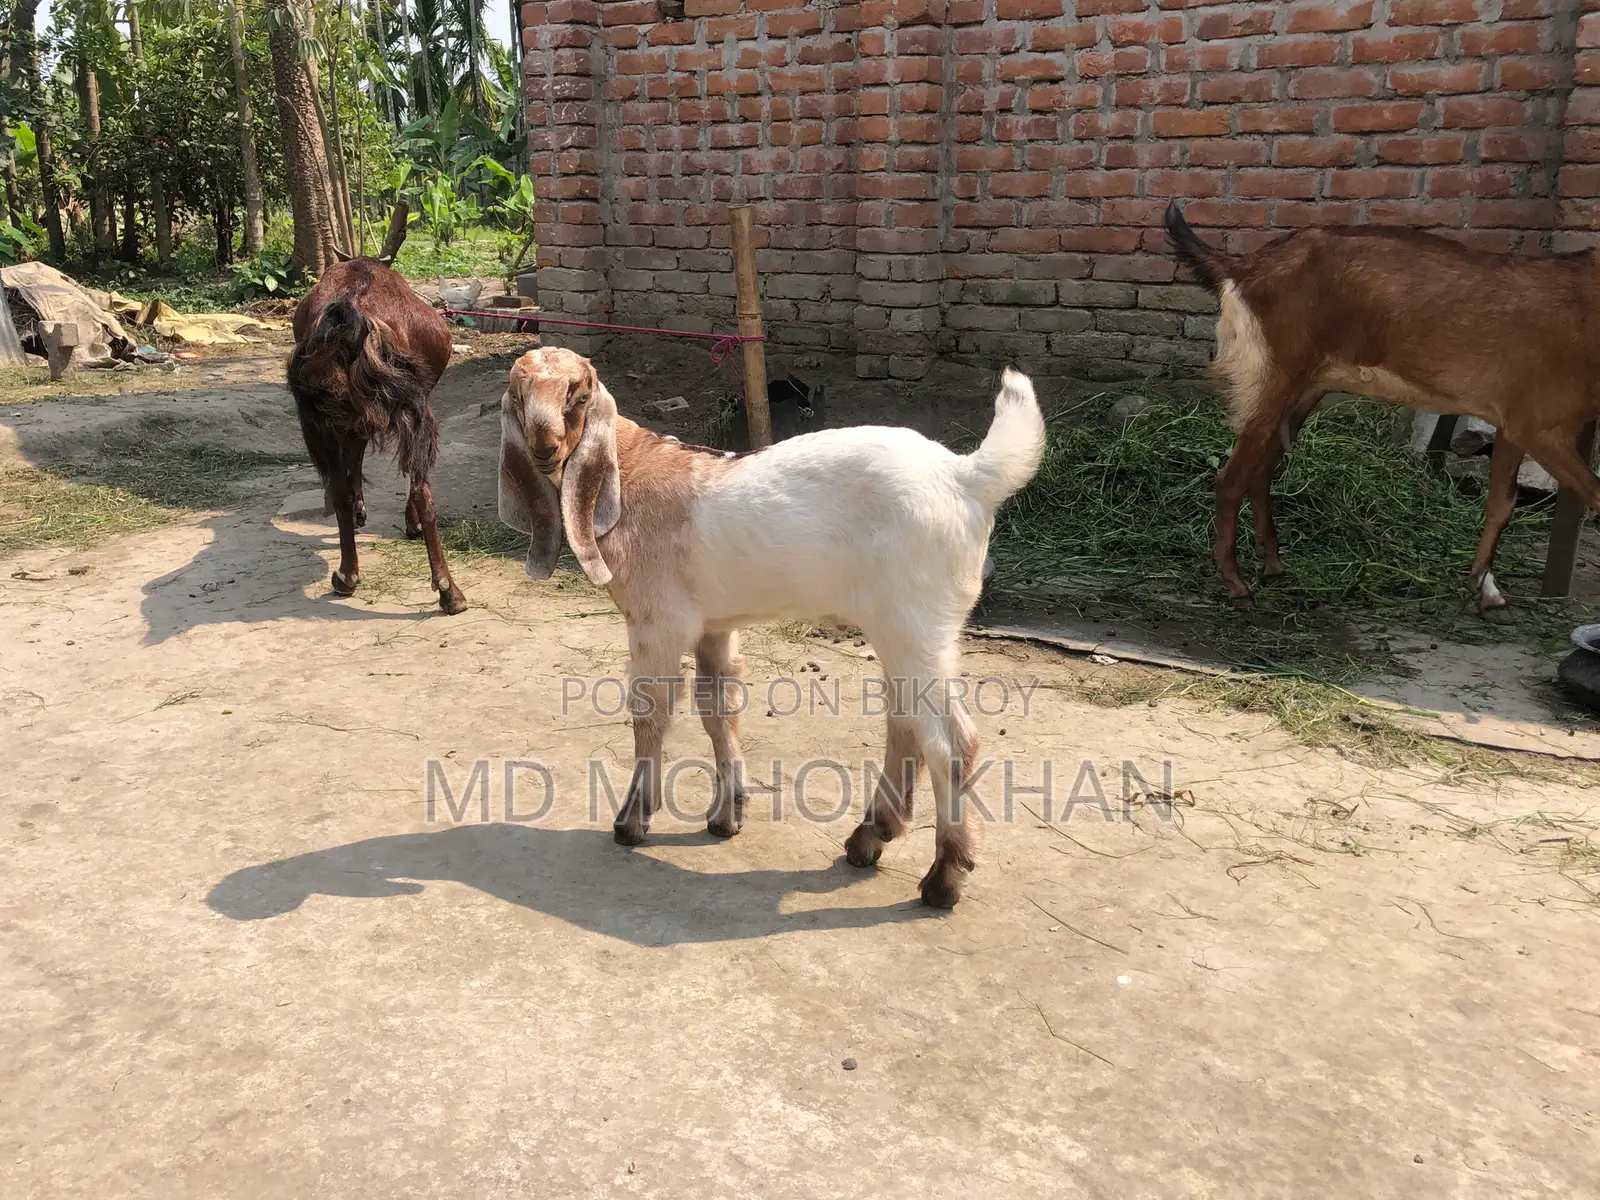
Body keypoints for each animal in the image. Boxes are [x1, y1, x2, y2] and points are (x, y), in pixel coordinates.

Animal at [287, 255, 466, 614]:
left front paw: (360, 511)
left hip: (321, 417)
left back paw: (347, 575)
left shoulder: (353, 419)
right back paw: (448, 590)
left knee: (338, 486)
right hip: (414, 408)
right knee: (422, 490)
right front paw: (406, 522)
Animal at [497, 347, 1045, 908]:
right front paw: (726, 815)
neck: (630, 470)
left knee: (951, 743)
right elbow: (718, 708)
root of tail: (965, 475)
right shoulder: (714, 627)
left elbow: (650, 713)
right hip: (901, 629)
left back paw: (943, 877)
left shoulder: (657, 622)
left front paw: (632, 822)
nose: (545, 449)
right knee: (905, 720)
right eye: (517, 394)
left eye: (578, 395)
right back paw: (871, 835)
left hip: (916, 623)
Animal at [1165, 200, 1600, 621]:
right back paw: (1237, 584)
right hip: (1274, 377)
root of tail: (1245, 266)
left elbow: (1501, 505)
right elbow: (1594, 494)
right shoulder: (1539, 425)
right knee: (1230, 479)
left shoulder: (1512, 421)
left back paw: (1272, 565)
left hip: (1305, 389)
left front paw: (1488, 593)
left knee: (1261, 472)